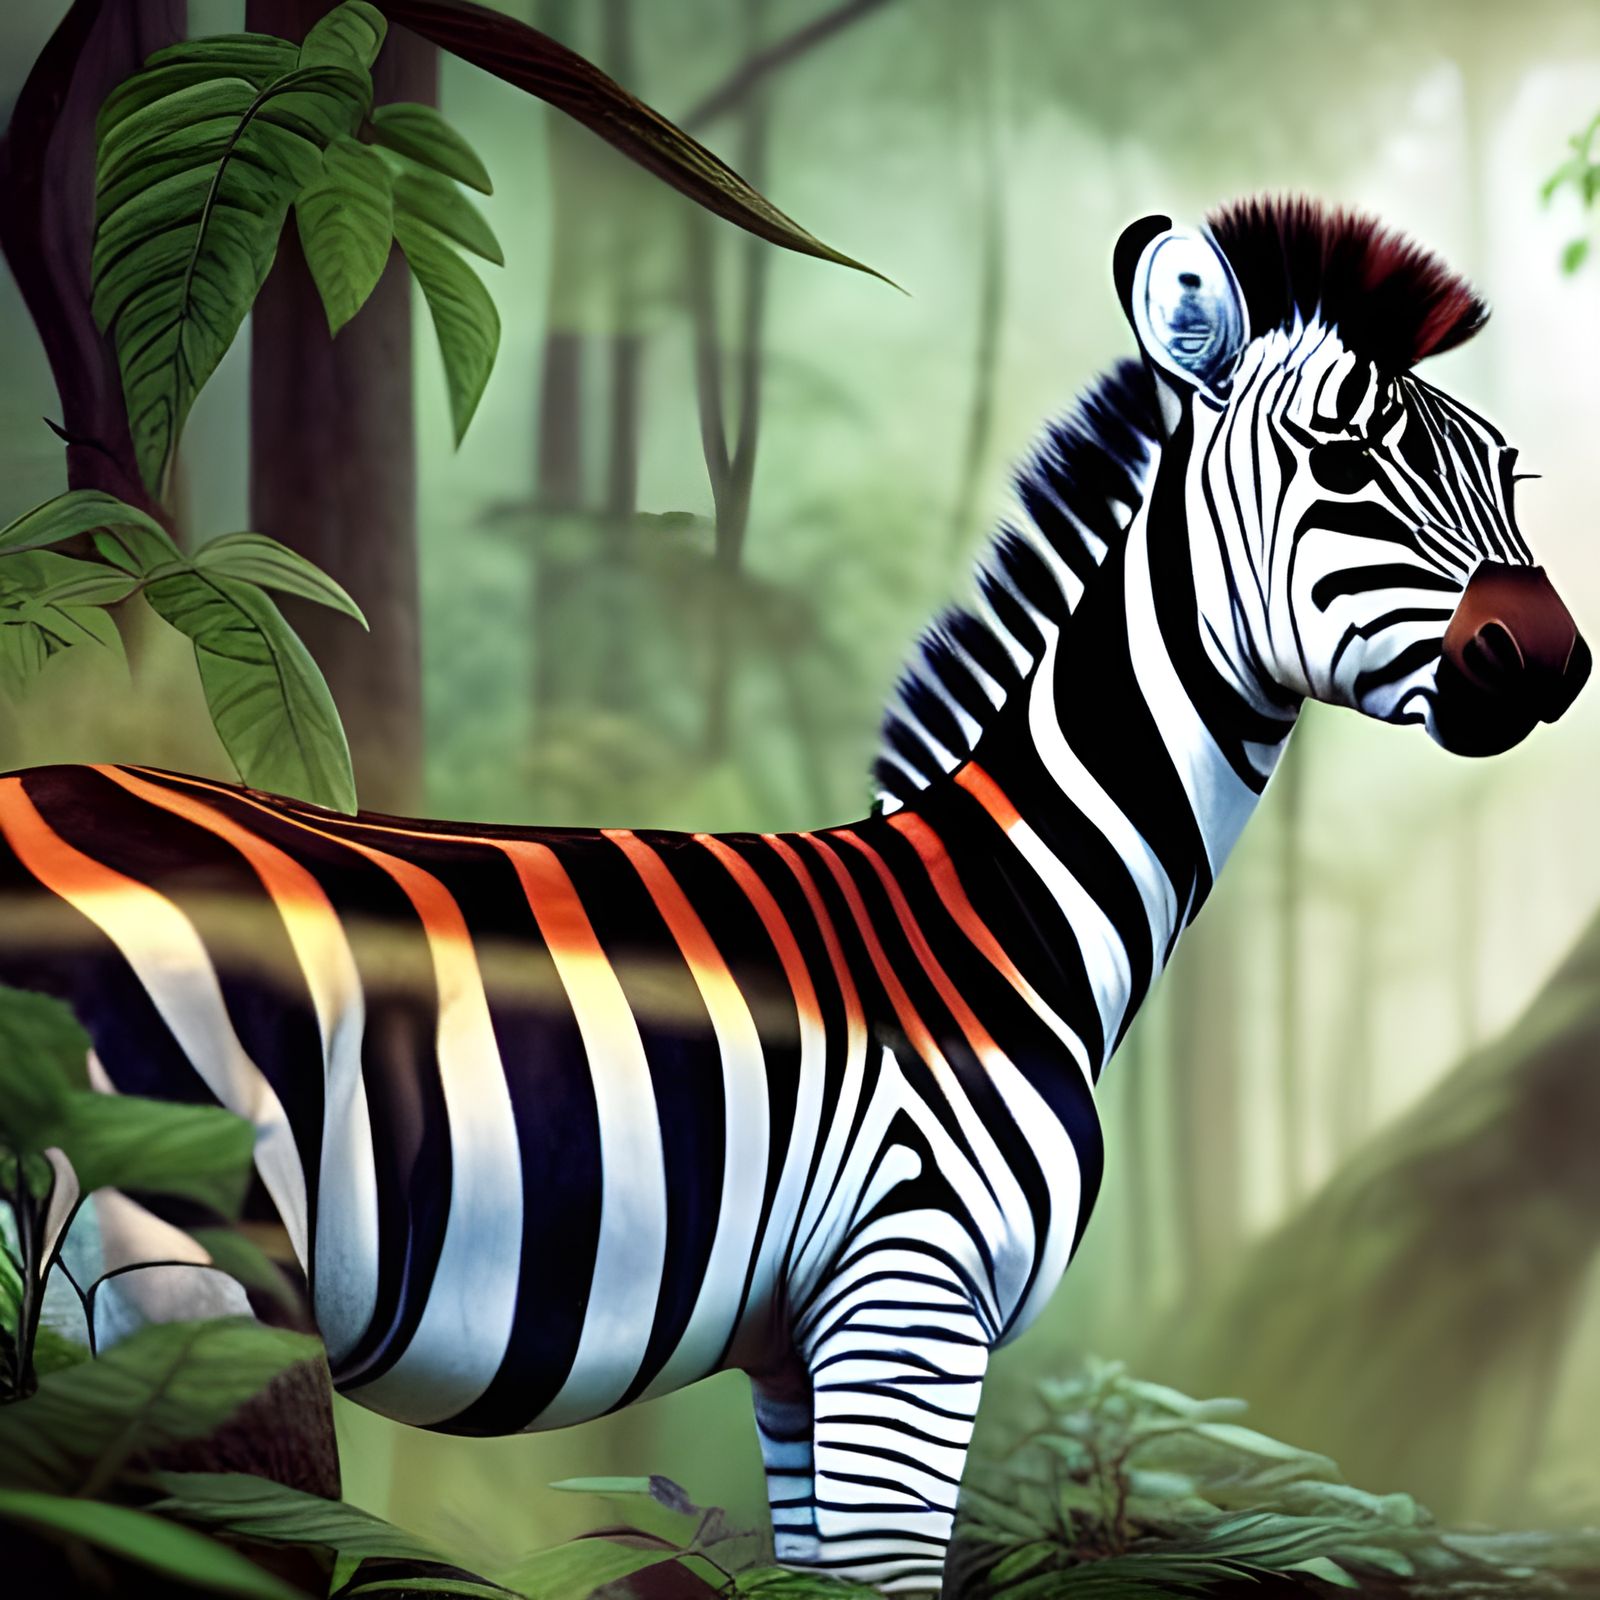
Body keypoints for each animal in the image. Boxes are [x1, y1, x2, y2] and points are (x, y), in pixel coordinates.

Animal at [0, 196, 1588, 1596]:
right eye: (1342, 461)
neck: (1011, 908)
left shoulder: (796, 1350)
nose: (1556, 658)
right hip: (193, 1300)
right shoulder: (910, 1297)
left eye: (1508, 472)